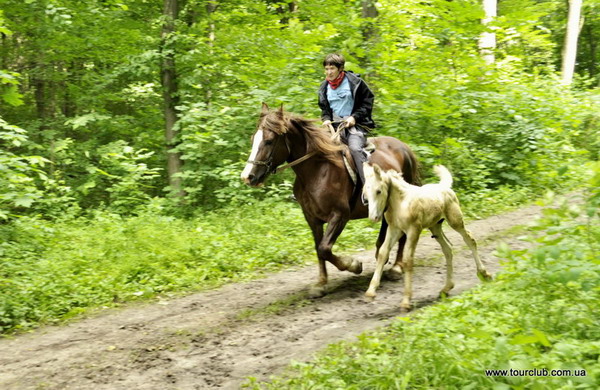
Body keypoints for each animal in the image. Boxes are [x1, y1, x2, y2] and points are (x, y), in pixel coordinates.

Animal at [241, 103, 420, 296]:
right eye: (253, 139)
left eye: (269, 141)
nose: (248, 177)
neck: (317, 170)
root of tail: (404, 148)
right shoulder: (312, 218)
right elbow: (319, 249)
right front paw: (321, 283)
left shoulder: (339, 215)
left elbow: (324, 248)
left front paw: (354, 265)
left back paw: (396, 267)